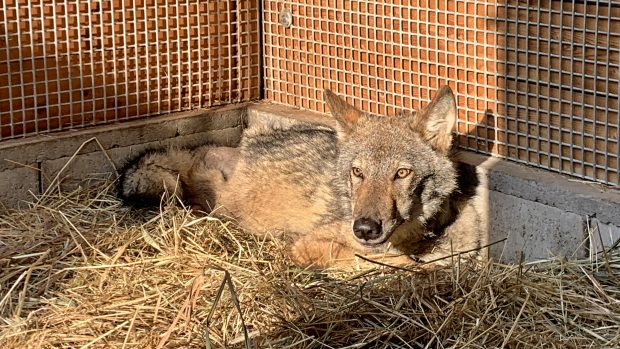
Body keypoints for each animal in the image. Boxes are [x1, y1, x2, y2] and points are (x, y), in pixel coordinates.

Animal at [118, 86, 486, 266]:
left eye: (402, 173)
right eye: (358, 172)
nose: (365, 228)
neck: (413, 239)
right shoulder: (310, 245)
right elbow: (384, 265)